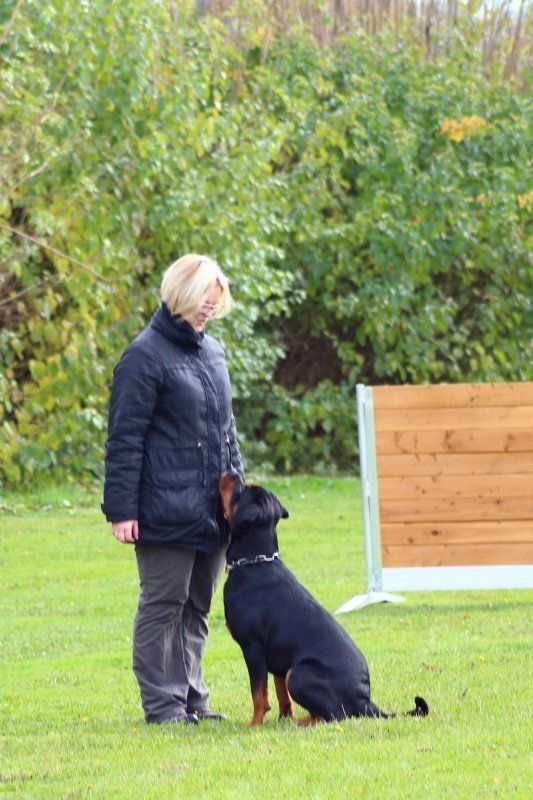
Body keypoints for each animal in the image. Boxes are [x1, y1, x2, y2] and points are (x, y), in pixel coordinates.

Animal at [220, 475, 429, 726]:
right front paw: (284, 718)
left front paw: (254, 724)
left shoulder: (253, 648)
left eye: (242, 489)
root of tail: (365, 699)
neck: (255, 562)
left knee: (337, 715)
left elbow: (259, 693)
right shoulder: (278, 657)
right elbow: (281, 694)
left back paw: (305, 722)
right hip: (292, 670)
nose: (232, 474)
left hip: (298, 674)